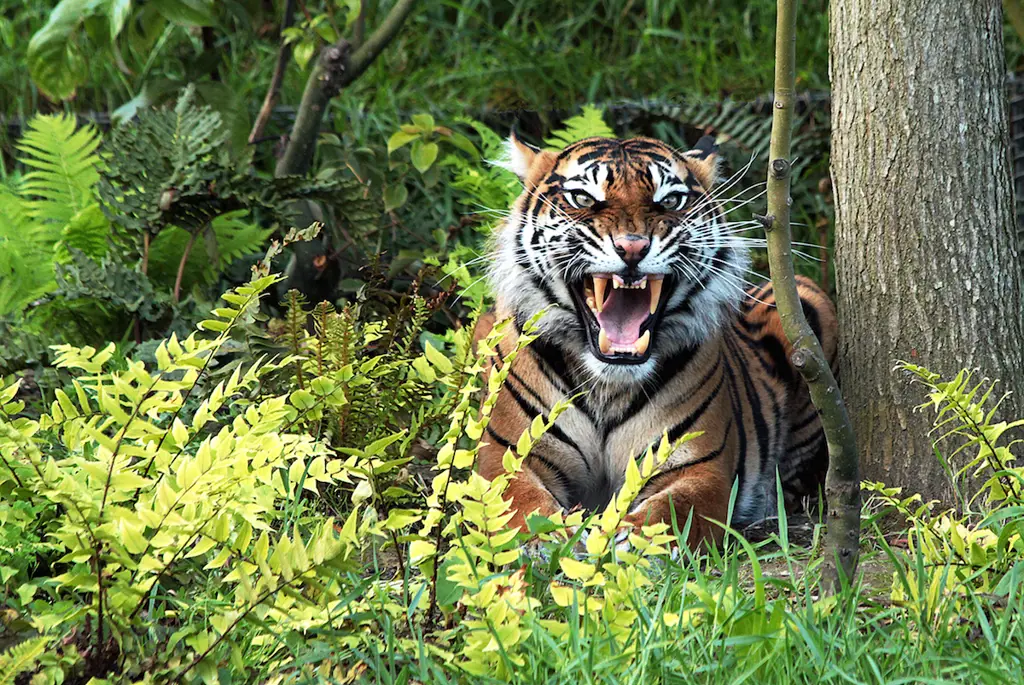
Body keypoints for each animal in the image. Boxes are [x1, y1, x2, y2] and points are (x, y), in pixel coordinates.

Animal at [475, 133, 835, 548]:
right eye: (582, 198)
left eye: (670, 201)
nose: (632, 248)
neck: (607, 386)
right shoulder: (506, 456)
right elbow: (517, 505)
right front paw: (551, 537)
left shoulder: (697, 467)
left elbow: (672, 512)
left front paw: (624, 541)